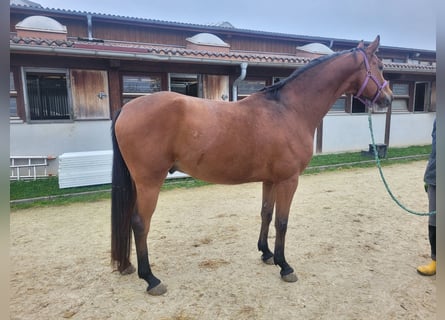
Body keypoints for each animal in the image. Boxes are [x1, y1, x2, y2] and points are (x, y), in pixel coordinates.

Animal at [111, 35, 392, 296]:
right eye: (379, 65)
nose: (388, 98)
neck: (289, 110)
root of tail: (126, 108)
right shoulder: (289, 180)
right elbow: (282, 221)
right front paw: (284, 266)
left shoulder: (271, 180)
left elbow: (266, 213)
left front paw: (266, 254)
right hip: (149, 183)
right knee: (140, 223)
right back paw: (151, 279)